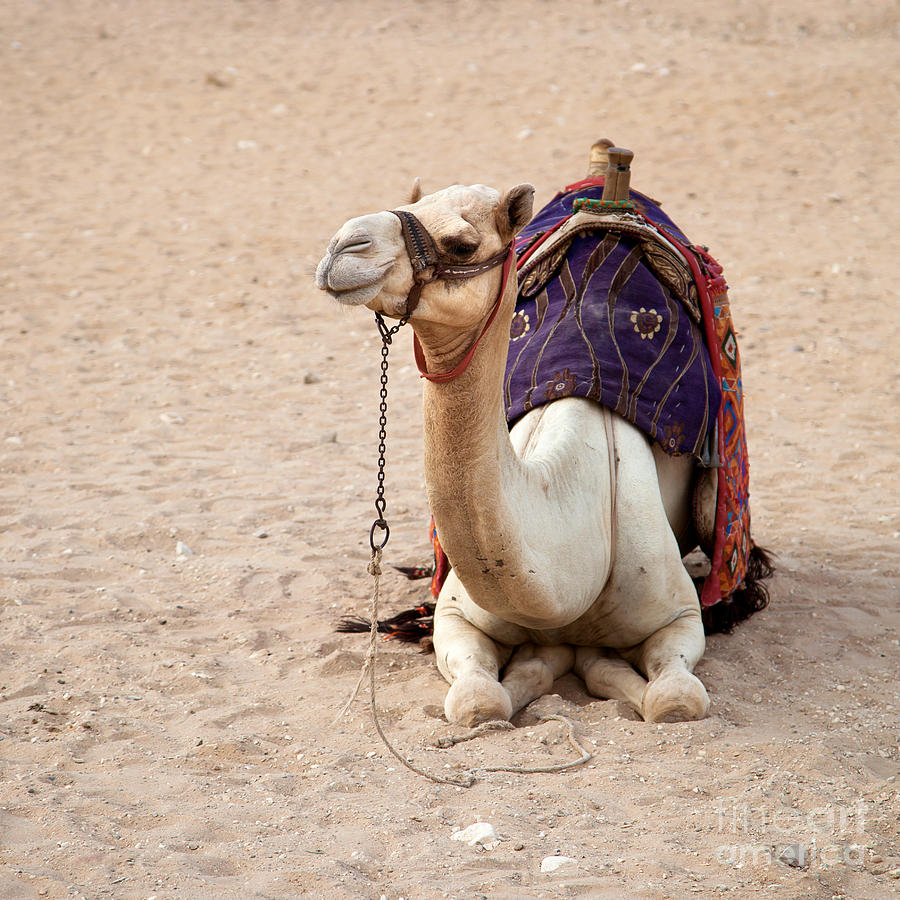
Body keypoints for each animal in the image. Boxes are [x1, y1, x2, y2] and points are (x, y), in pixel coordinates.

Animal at [314, 146, 768, 724]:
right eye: (404, 205)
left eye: (462, 243)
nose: (342, 245)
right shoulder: (457, 617)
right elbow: (479, 700)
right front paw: (543, 663)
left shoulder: (681, 615)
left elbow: (673, 699)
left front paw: (596, 662)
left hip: (716, 512)